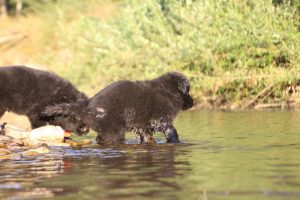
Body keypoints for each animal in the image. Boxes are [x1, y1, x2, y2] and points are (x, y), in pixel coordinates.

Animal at [42, 72, 195, 144]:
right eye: (188, 91)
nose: (193, 103)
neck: (167, 92)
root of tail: (88, 105)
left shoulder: (142, 125)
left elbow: (146, 136)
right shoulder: (160, 119)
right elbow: (170, 129)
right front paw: (175, 140)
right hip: (114, 129)